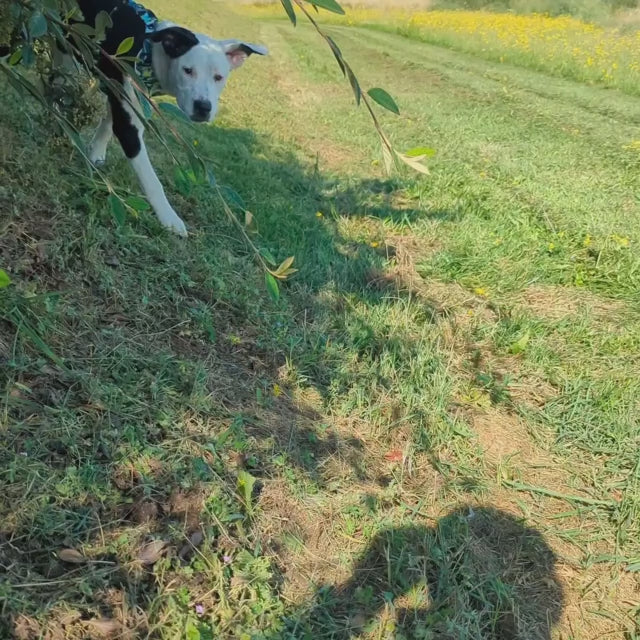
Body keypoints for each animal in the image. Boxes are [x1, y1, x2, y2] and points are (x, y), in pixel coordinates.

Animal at [74, 0, 266, 236]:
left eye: (219, 77)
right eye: (187, 70)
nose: (203, 107)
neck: (147, 52)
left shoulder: (120, 97)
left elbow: (108, 123)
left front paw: (95, 154)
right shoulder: (130, 126)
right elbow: (152, 180)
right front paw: (169, 218)